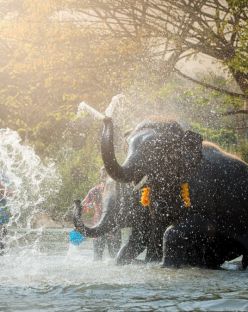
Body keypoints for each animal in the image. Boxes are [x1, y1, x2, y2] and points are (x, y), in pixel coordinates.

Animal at [100, 116, 248, 268]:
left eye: (156, 148)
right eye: (126, 146)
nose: (107, 119)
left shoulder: (205, 195)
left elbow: (186, 228)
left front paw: (164, 266)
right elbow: (154, 229)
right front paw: (152, 263)